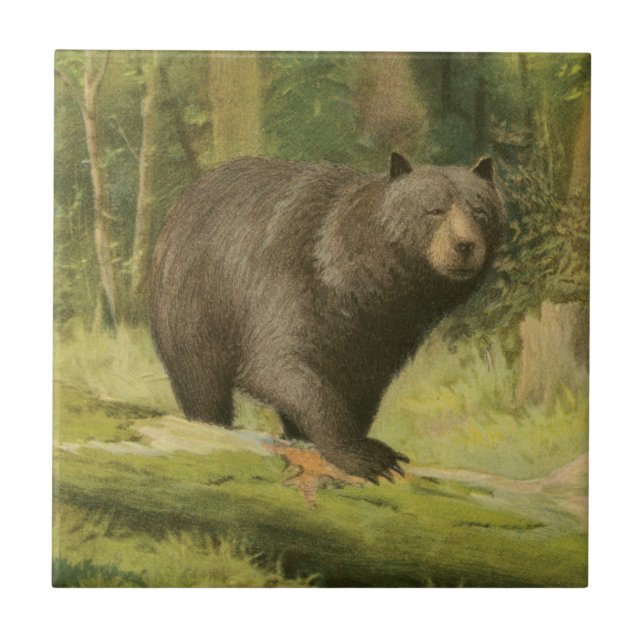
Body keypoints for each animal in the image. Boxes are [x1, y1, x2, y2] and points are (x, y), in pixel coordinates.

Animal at [149, 153, 505, 482]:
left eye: (480, 211)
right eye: (434, 210)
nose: (464, 245)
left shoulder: (386, 334)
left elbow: (363, 386)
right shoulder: (290, 282)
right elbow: (278, 365)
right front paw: (367, 455)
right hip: (193, 306)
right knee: (202, 384)